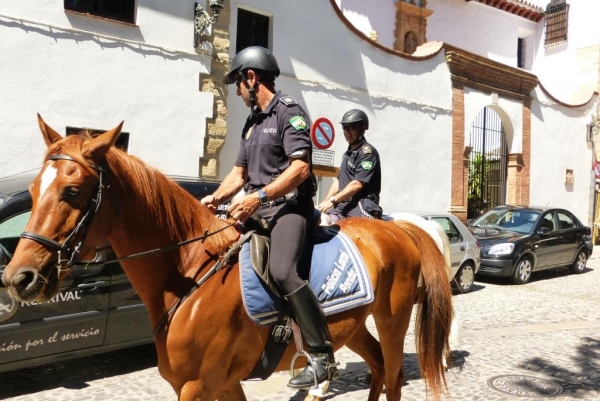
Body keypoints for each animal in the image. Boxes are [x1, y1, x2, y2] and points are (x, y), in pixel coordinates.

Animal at [0, 114, 450, 398]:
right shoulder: (223, 383)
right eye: (35, 192)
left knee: (392, 377)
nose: (19, 278)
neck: (188, 276)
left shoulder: (196, 387)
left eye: (72, 191)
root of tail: (396, 228)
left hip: (392, 321)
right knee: (376, 369)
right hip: (351, 326)